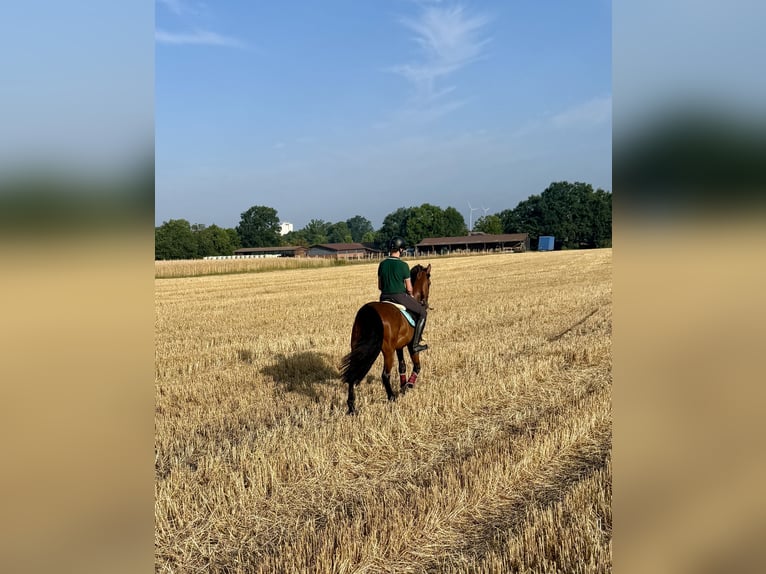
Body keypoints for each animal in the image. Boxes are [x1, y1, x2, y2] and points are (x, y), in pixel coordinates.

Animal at [340, 263, 432, 414]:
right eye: (429, 283)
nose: (426, 303)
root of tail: (369, 312)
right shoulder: (410, 346)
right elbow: (417, 366)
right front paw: (409, 385)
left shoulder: (399, 346)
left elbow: (402, 366)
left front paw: (403, 386)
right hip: (388, 351)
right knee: (385, 375)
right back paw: (392, 397)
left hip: (356, 347)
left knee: (353, 372)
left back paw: (352, 407)